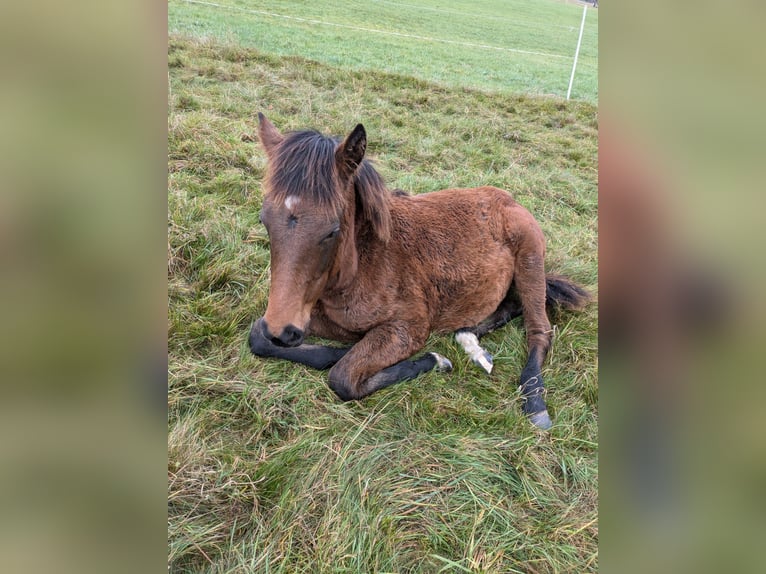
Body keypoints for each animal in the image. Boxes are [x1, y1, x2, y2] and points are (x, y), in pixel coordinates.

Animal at [249, 115, 592, 430]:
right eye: (264, 220)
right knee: (509, 305)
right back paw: (471, 343)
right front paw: (338, 350)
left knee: (539, 328)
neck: (364, 264)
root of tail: (509, 200)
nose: (283, 330)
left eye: (332, 230)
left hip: (530, 260)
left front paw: (433, 360)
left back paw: (534, 401)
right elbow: (258, 337)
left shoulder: (409, 327)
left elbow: (343, 378)